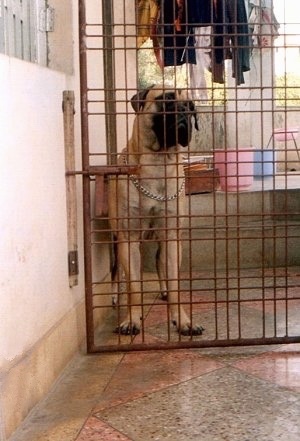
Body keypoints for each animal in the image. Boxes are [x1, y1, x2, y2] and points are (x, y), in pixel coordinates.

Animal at [108, 84, 204, 336]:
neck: (158, 162)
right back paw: (116, 295)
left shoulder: (171, 236)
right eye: (167, 99)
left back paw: (164, 292)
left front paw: (183, 321)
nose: (183, 111)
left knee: (161, 265)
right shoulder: (128, 237)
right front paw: (131, 319)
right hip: (114, 240)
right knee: (116, 272)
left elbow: (174, 281)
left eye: (190, 106)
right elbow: (133, 286)